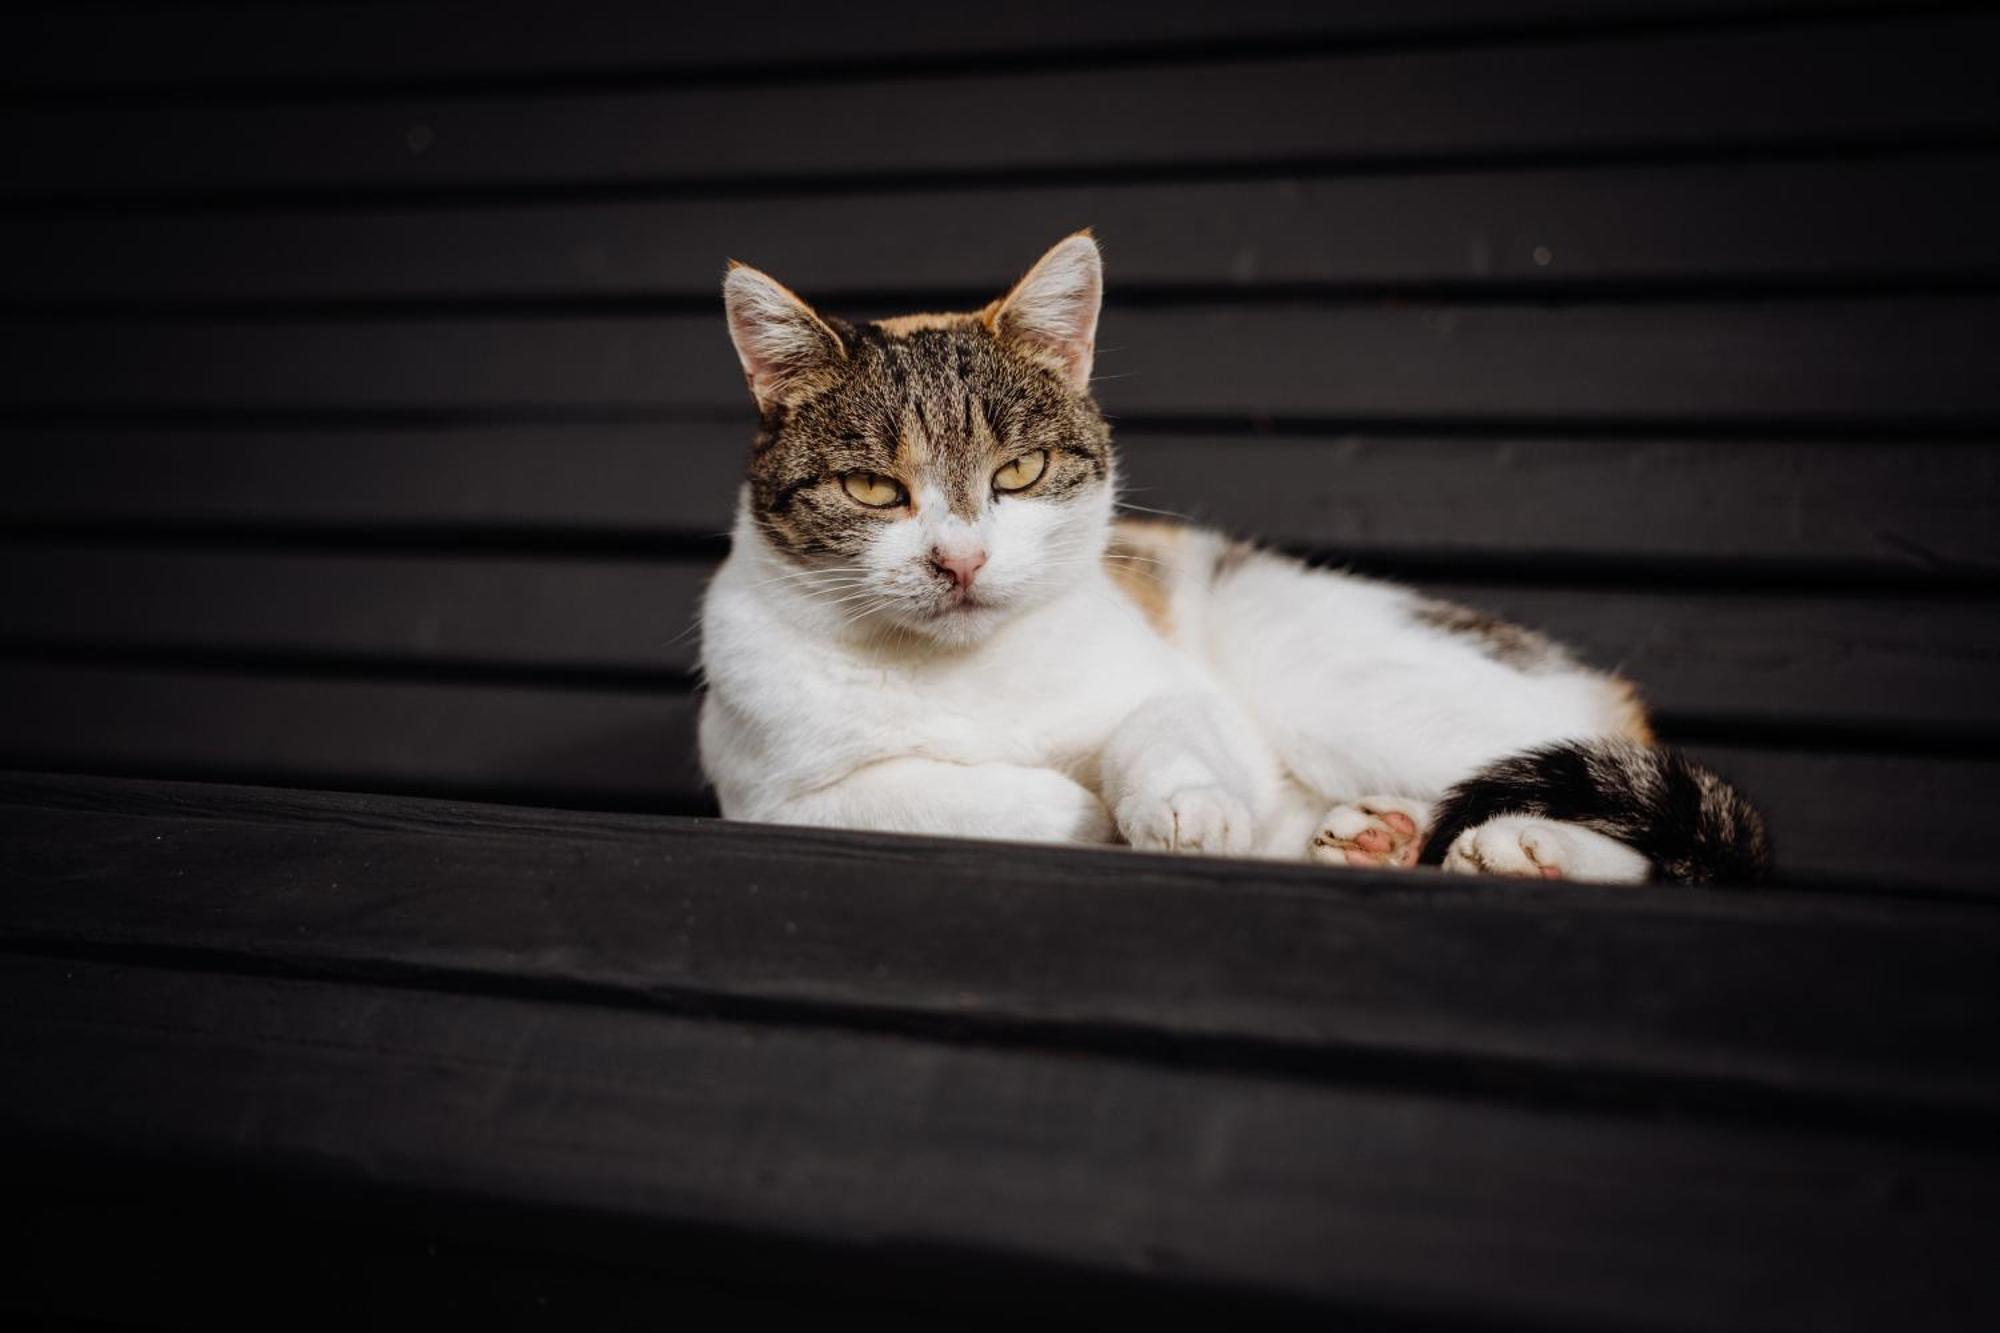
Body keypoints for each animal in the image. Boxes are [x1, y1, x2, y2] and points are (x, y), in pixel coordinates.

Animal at [696, 236, 1776, 880]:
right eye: (873, 489)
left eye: (1020, 471)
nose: (958, 561)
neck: (964, 673)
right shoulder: (765, 798)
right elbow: (926, 790)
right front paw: (1078, 807)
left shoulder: (1186, 695)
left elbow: (1160, 727)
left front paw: (1178, 807)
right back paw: (1382, 836)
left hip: (1326, 678)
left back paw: (1523, 842)